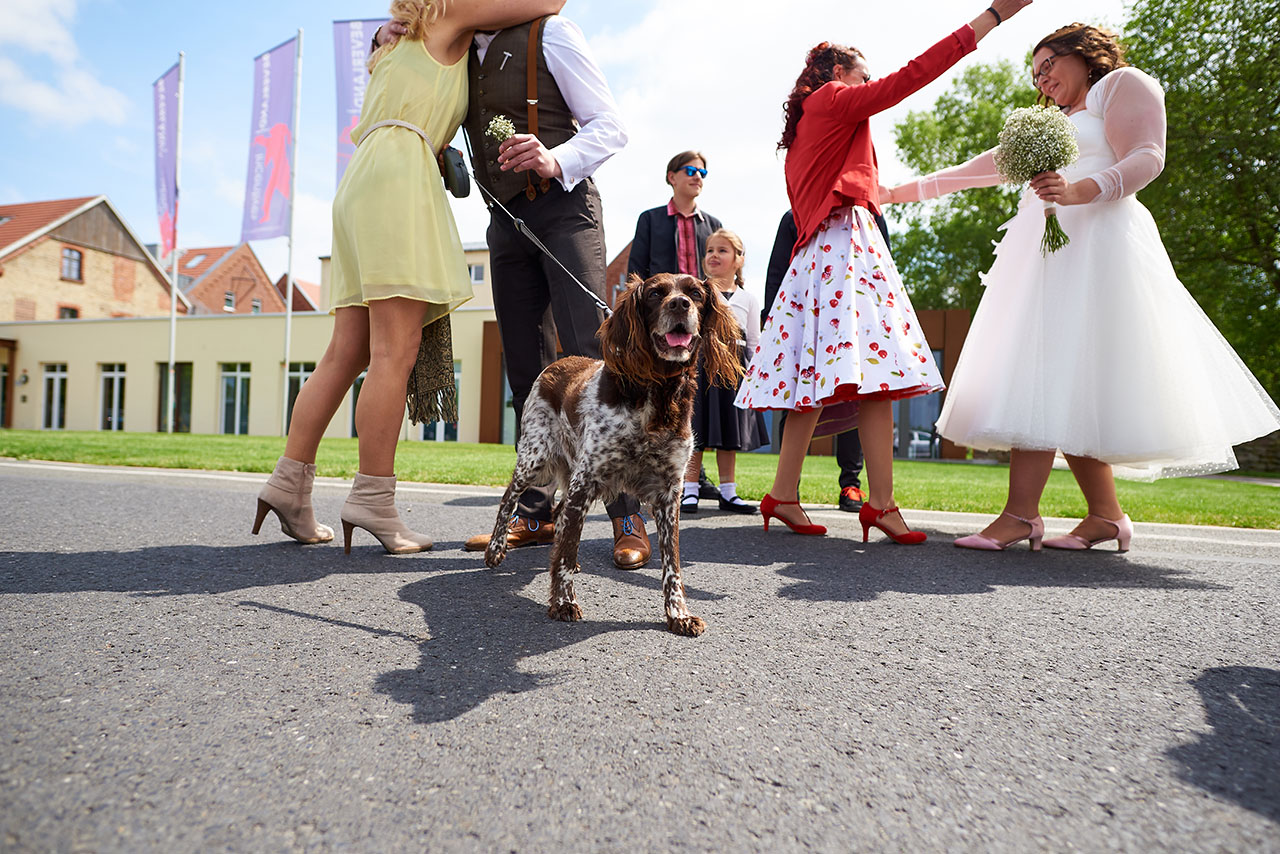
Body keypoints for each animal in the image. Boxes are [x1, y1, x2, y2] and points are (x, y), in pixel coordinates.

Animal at [481, 273, 742, 635]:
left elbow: (672, 565)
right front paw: (563, 602)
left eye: (695, 293)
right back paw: (495, 549)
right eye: (655, 294)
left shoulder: (669, 493)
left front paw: (678, 615)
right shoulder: (586, 480)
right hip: (537, 457)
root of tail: (557, 362)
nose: (680, 305)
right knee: (510, 499)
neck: (658, 393)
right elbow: (564, 552)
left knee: (559, 516)